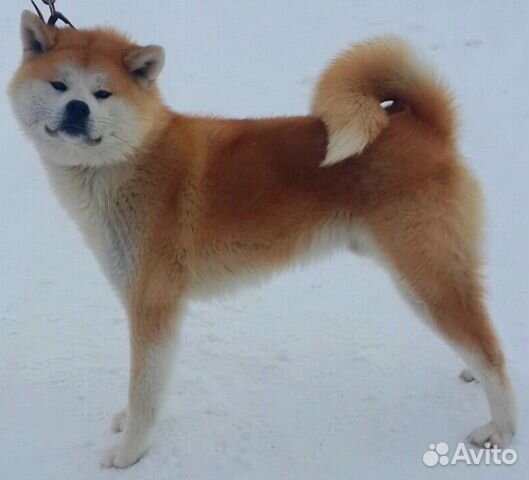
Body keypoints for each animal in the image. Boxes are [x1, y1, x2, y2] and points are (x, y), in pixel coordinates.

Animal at [9, 9, 516, 468]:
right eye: (59, 86)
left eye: (102, 93)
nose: (78, 108)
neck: (133, 158)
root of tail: (427, 126)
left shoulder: (153, 304)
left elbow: (146, 390)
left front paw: (130, 453)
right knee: (478, 335)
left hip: (424, 276)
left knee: (491, 351)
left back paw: (501, 430)